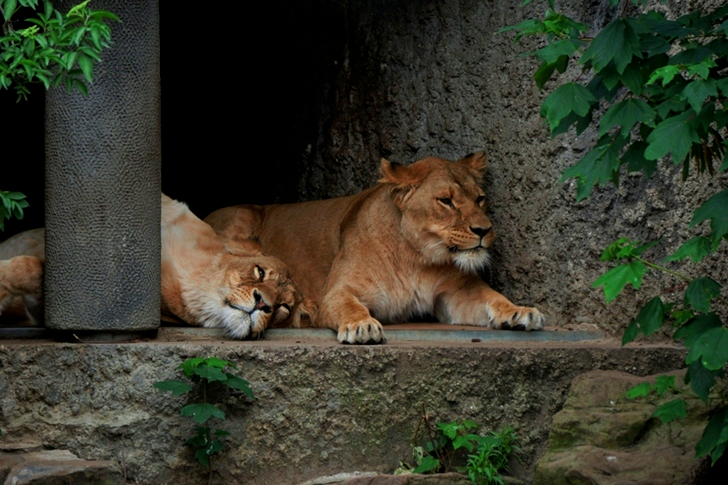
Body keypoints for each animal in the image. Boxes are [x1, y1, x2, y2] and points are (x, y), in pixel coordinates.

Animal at [204, 152, 545, 344]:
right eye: (446, 201)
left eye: (480, 199)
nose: (484, 230)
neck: (417, 258)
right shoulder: (336, 292)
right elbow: (349, 306)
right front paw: (362, 326)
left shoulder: (454, 294)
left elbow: (491, 298)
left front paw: (520, 312)